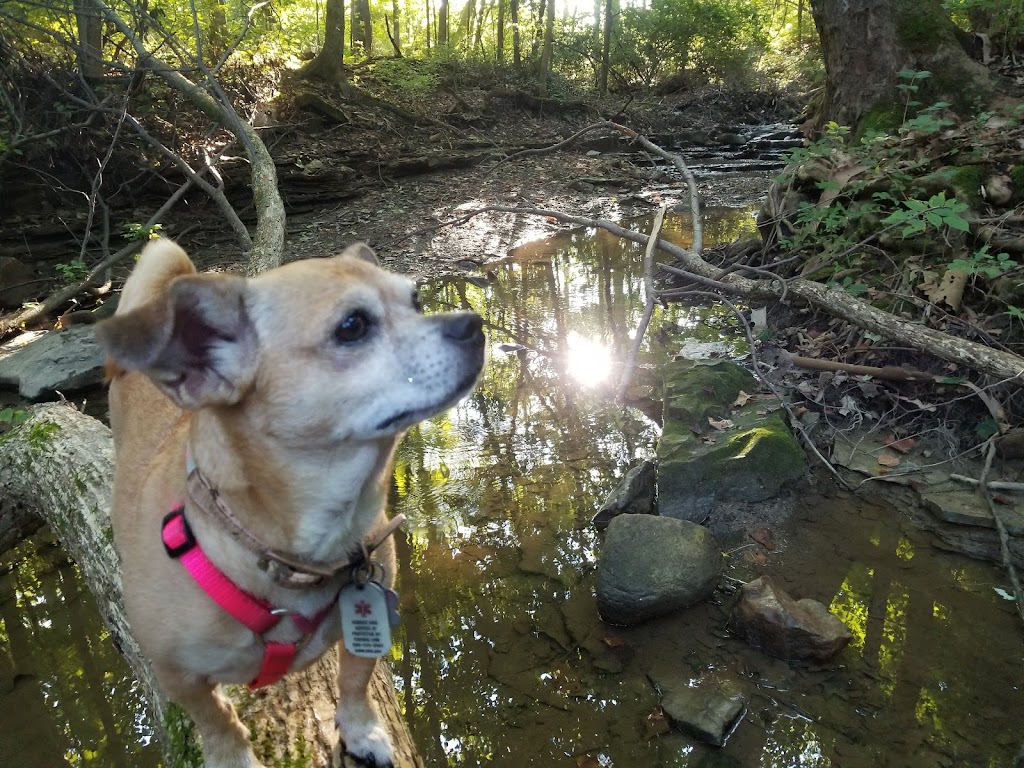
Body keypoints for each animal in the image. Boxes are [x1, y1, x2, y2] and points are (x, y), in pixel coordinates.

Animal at [94, 237, 485, 765]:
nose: (474, 323)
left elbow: (354, 681)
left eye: (417, 300)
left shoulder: (370, 619)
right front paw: (231, 757)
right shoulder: (179, 676)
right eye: (352, 326)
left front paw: (361, 731)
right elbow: (217, 721)